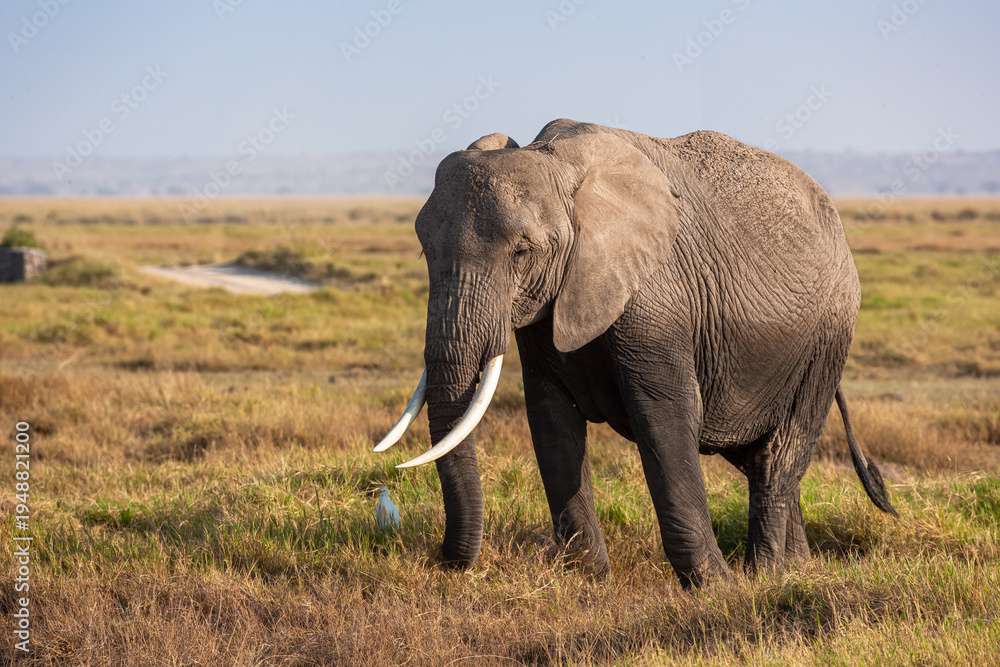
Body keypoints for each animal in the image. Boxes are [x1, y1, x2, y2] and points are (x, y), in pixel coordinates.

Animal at [374, 118, 896, 588]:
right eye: (423, 251)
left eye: (522, 252)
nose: (447, 563)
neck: (559, 166)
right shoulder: (548, 307)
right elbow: (550, 419)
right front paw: (590, 579)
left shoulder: (656, 297)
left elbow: (664, 417)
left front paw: (714, 587)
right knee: (756, 458)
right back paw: (796, 568)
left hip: (827, 338)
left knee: (777, 457)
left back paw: (763, 575)